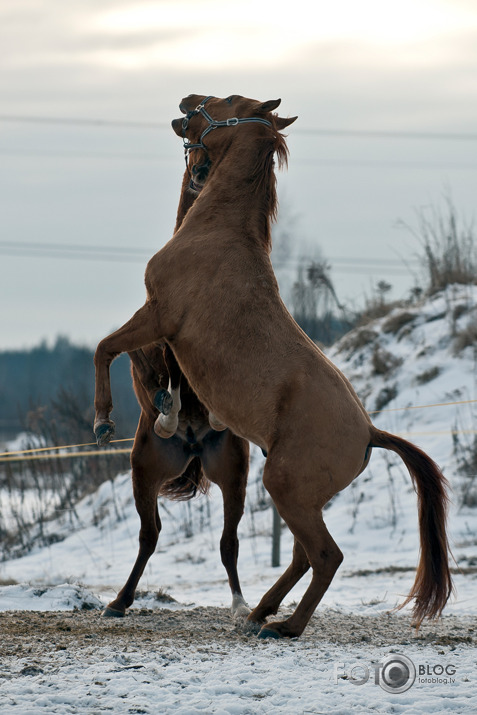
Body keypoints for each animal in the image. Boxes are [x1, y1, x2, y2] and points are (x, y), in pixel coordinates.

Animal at [101, 162, 249, 620]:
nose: (201, 175)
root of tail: (193, 445)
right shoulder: (155, 334)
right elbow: (161, 365)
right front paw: (167, 405)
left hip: (233, 471)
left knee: (228, 541)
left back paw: (241, 605)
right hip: (146, 469)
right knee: (150, 534)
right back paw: (118, 601)